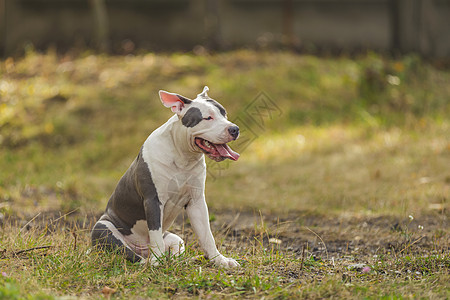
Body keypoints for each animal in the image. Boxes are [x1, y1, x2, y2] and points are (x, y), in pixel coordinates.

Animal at [89, 86, 241, 268]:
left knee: (174, 250)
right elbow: (155, 234)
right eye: (208, 117)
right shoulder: (153, 201)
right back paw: (150, 262)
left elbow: (207, 236)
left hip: (174, 238)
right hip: (103, 228)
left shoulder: (196, 202)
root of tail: (143, 248)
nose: (234, 129)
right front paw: (157, 262)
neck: (183, 157)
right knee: (133, 256)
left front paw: (220, 260)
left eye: (224, 114)